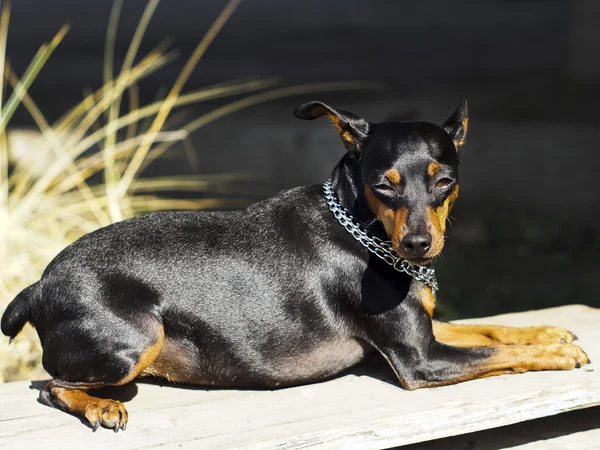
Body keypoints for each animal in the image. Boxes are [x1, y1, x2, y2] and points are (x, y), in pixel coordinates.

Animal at [1, 99, 592, 432]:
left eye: (444, 180)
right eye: (383, 185)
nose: (419, 245)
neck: (363, 228)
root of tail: (39, 284)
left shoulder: (425, 332)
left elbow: (492, 329)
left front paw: (552, 332)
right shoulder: (421, 361)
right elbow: (499, 353)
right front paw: (559, 354)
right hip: (137, 338)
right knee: (50, 384)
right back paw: (100, 407)